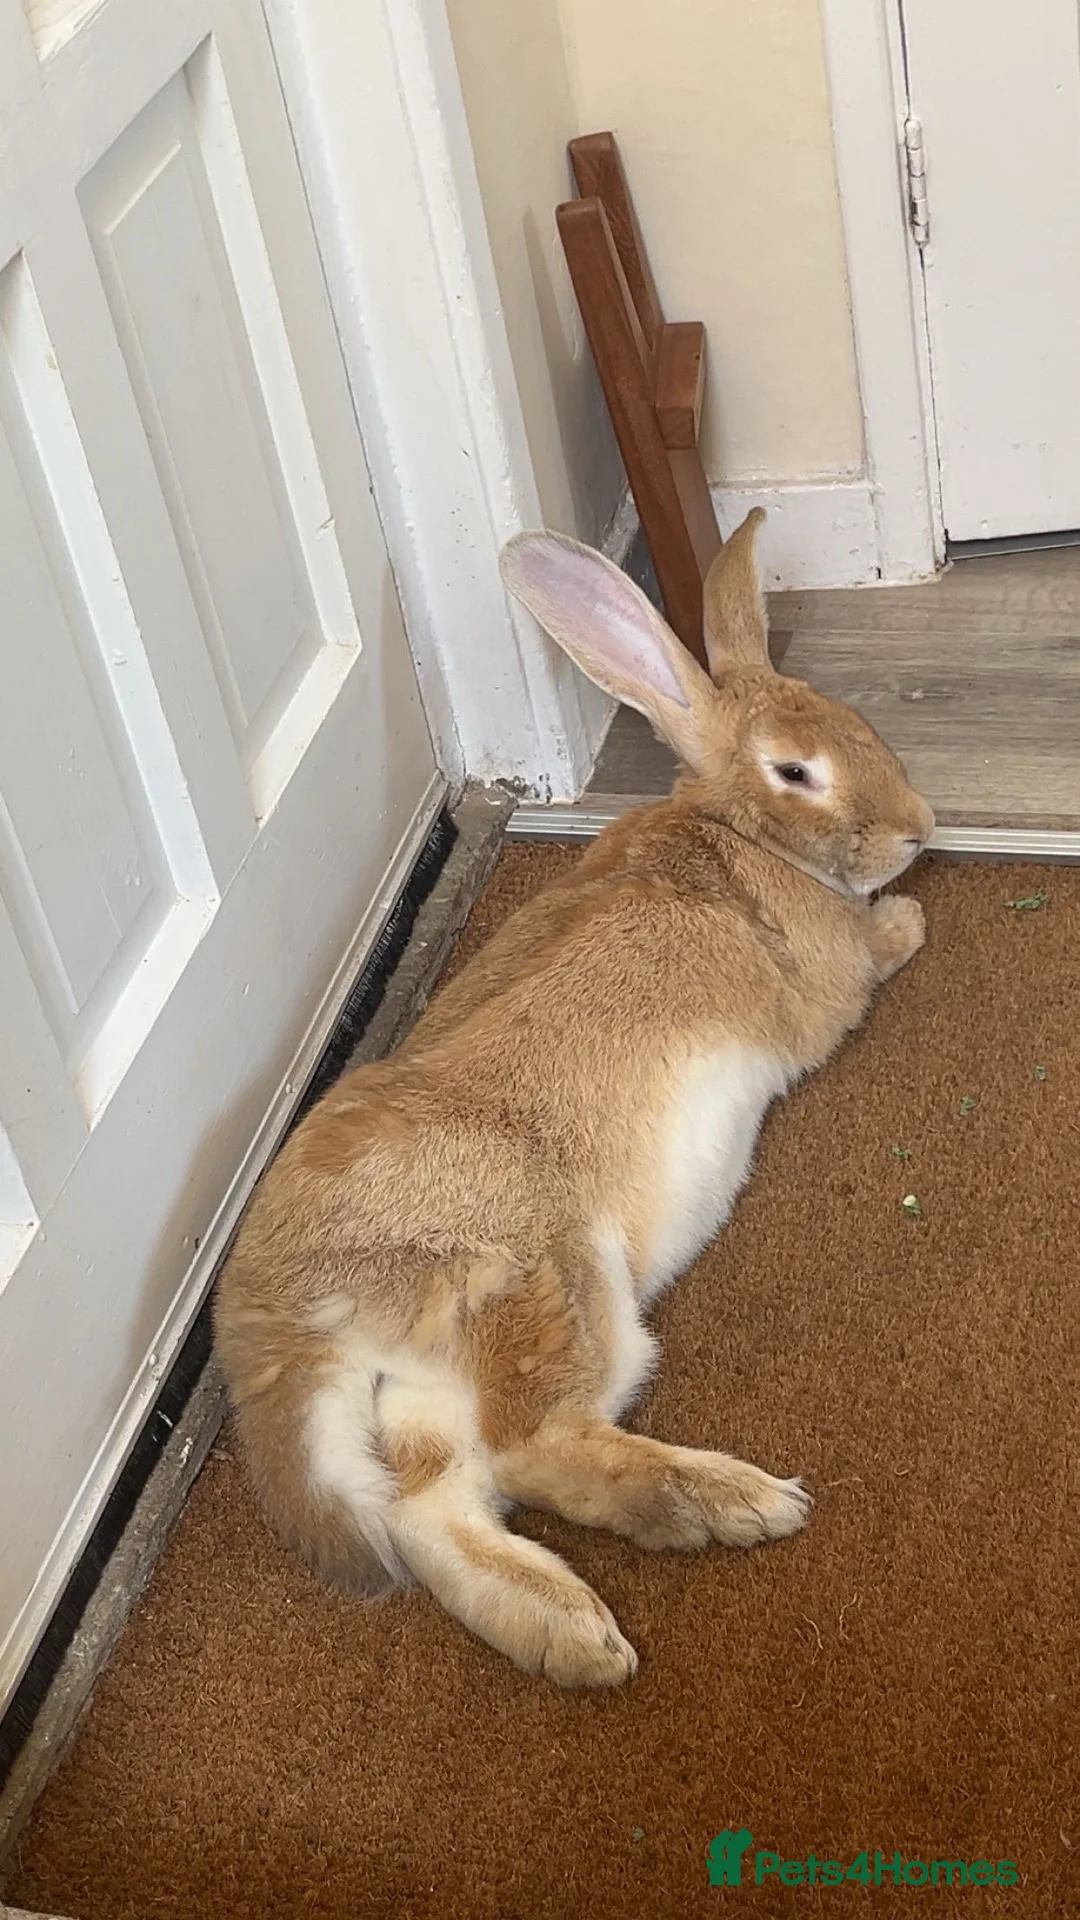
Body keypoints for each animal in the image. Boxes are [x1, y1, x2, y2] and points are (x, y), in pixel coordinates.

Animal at [215, 507, 934, 1688]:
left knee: (432, 1505)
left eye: (851, 719)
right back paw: (727, 1507)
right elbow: (873, 959)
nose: (919, 828)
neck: (734, 836)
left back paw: (569, 1638)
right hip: (553, 1281)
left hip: (430, 1386)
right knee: (534, 1450)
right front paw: (907, 920)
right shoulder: (830, 987)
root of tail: (277, 1321)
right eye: (796, 768)